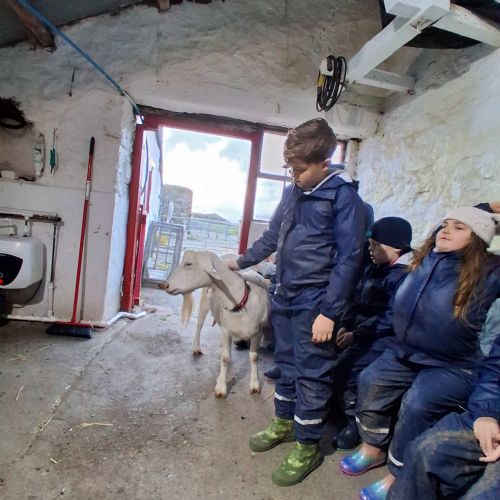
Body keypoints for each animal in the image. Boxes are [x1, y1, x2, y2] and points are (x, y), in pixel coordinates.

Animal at [163, 250, 270, 398]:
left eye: (188, 264)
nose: (165, 285)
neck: (240, 301)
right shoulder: (227, 330)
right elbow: (225, 358)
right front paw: (221, 387)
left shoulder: (258, 332)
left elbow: (254, 357)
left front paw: (255, 385)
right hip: (204, 302)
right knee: (199, 325)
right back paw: (196, 348)